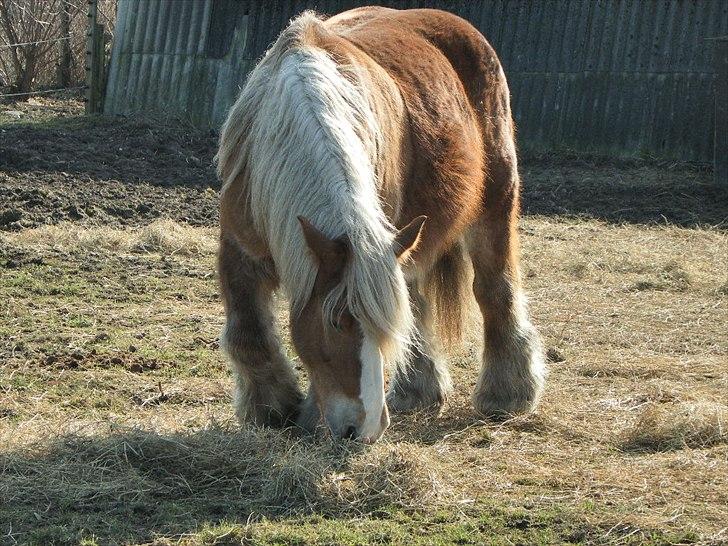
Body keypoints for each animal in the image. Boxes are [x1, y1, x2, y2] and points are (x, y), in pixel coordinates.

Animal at [213, 6, 544, 442]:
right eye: (335, 321)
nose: (364, 427)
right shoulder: (239, 249)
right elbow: (247, 332)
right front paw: (272, 410)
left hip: (495, 202)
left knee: (494, 290)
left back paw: (507, 393)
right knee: (419, 301)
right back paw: (419, 391)